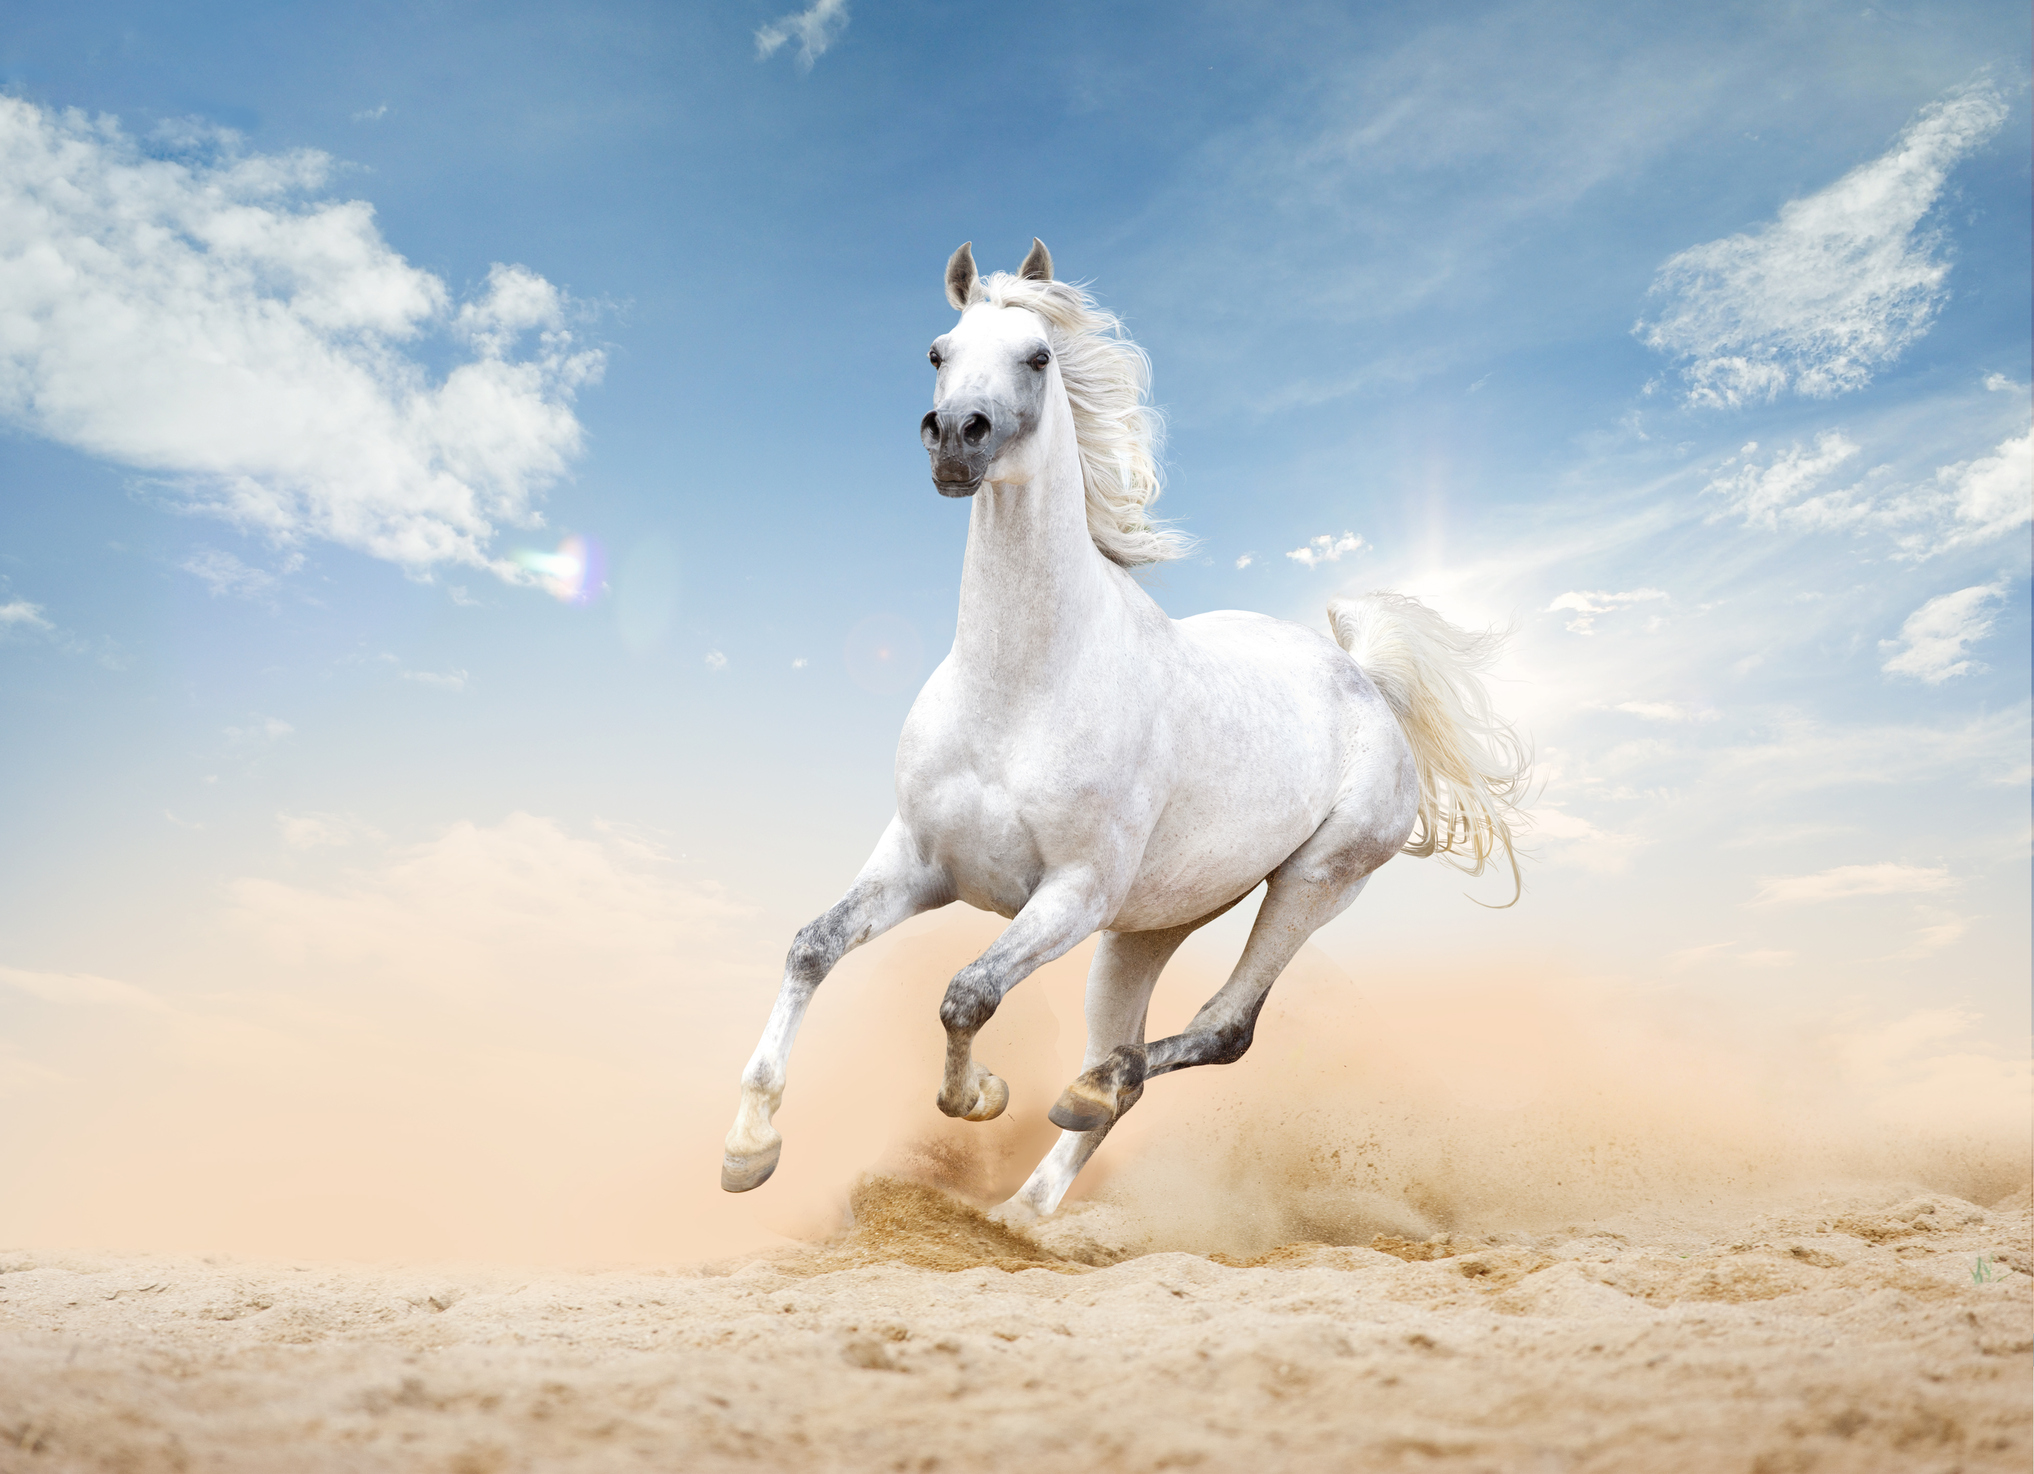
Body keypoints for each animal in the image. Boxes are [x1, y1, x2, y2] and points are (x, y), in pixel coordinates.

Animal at [721, 238, 1530, 1221]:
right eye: (938, 350)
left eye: (1038, 356)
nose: (955, 439)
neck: (1021, 689)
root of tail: (1366, 683)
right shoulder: (920, 860)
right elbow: (813, 947)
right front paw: (749, 1148)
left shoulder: (1072, 892)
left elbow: (966, 994)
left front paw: (979, 1097)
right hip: (1145, 929)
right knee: (1131, 1061)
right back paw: (1026, 1212)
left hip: (1310, 884)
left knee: (1216, 1032)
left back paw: (1084, 1099)